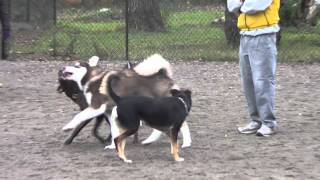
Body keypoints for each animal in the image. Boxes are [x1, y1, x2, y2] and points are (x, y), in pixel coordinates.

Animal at [58, 54, 191, 148]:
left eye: (77, 65)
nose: (62, 68)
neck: (92, 77)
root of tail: (163, 74)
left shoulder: (97, 106)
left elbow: (79, 116)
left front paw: (67, 127)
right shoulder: (108, 112)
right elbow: (113, 129)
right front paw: (112, 145)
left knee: (180, 124)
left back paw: (182, 143)